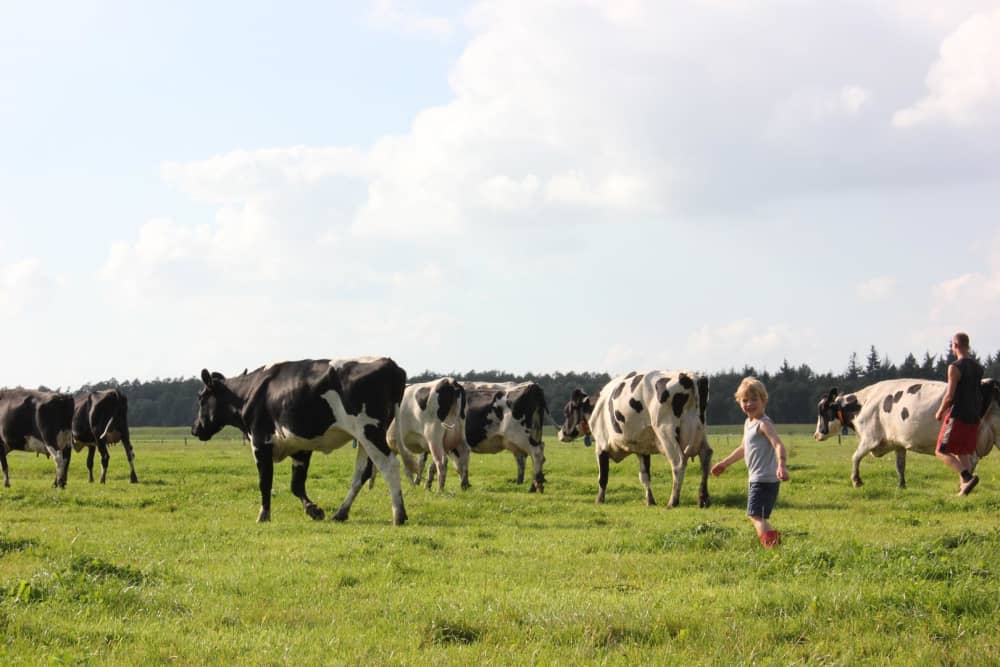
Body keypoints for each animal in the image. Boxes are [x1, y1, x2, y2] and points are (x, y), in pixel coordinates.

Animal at [191, 358, 414, 524]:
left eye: (201, 398)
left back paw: (399, 515)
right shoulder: (300, 446)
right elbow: (296, 484)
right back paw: (341, 513)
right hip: (363, 438)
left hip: (370, 431)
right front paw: (313, 510)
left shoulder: (260, 443)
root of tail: (390, 364)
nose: (195, 429)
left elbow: (265, 482)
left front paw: (263, 515)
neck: (250, 392)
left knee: (389, 465)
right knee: (362, 473)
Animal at [556, 374, 712, 508]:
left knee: (678, 462)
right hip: (700, 430)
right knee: (706, 456)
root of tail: (689, 377)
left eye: (566, 412)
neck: (596, 408)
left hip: (666, 432)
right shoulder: (642, 448)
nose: (560, 433)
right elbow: (644, 476)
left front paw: (599, 500)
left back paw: (672, 502)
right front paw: (650, 501)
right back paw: (703, 499)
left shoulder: (601, 446)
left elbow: (603, 477)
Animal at [812, 378, 1000, 488]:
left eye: (823, 410)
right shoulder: (897, 443)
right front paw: (901, 485)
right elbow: (900, 465)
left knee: (971, 460)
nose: (816, 435)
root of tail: (986, 383)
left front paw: (856, 480)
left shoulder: (870, 438)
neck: (863, 403)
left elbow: (855, 457)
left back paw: (964, 485)